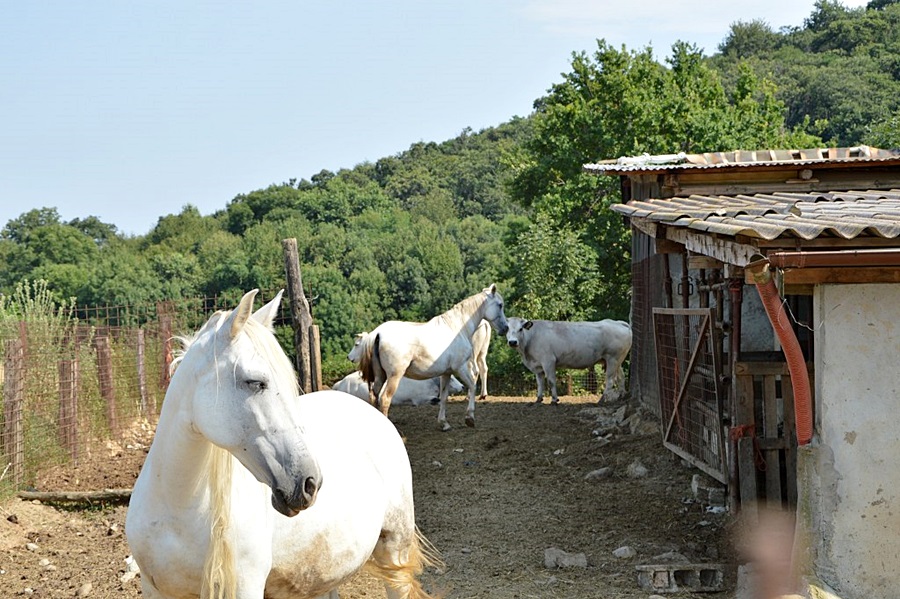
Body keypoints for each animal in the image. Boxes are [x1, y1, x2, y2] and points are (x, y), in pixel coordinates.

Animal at [356, 286, 510, 432]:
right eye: (500, 305)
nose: (506, 328)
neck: (457, 328)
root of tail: (378, 334)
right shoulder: (460, 367)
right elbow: (472, 386)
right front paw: (469, 418)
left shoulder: (447, 372)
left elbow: (444, 397)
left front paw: (444, 424)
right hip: (394, 376)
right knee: (385, 399)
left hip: (380, 376)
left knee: (374, 397)